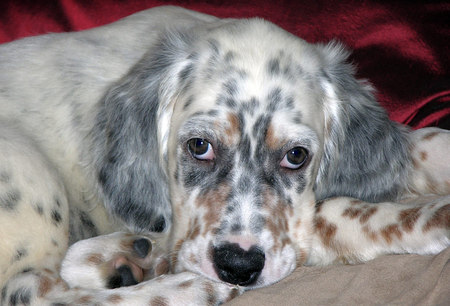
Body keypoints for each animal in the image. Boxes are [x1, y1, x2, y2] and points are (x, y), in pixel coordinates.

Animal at [0, 5, 450, 306]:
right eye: (200, 146)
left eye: (296, 155)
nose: (237, 268)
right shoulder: (298, 232)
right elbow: (338, 212)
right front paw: (434, 217)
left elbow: (421, 142)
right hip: (28, 167)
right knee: (33, 292)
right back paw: (181, 286)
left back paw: (126, 257)